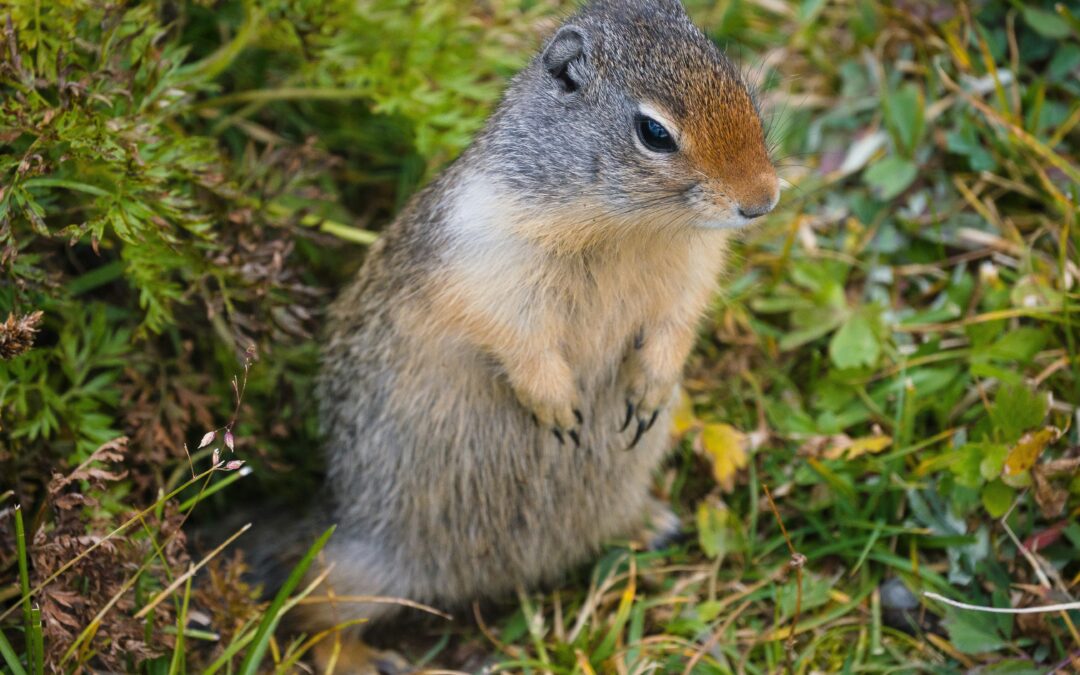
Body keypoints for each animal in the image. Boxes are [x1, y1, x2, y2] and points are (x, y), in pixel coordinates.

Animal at [296, 0, 778, 654]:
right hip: (357, 568)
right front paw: (559, 409)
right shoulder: (491, 269)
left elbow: (675, 326)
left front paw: (651, 390)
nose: (763, 200)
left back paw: (650, 524)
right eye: (654, 133)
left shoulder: (691, 275)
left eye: (741, 87)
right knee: (311, 611)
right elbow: (520, 341)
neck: (627, 227)